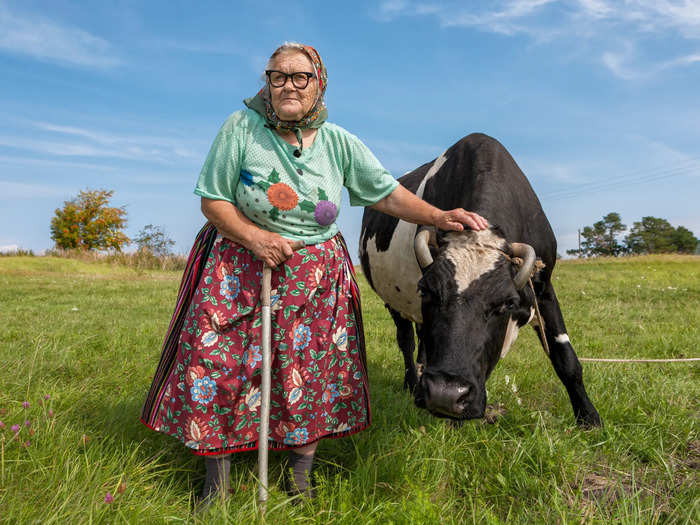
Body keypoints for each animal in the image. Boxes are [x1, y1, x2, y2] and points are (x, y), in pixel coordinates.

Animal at [360, 131, 600, 426]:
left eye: (507, 303)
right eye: (427, 290)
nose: (446, 393)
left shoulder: (544, 288)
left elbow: (565, 357)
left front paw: (588, 418)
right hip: (392, 300)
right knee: (407, 339)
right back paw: (411, 382)